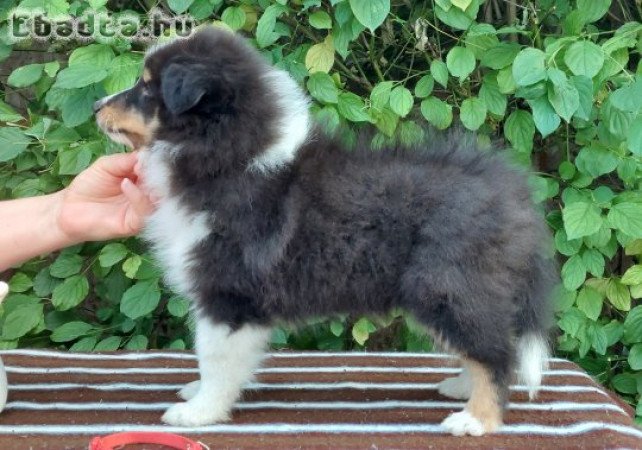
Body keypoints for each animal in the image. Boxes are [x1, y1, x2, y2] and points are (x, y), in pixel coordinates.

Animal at [95, 27, 556, 436]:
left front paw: (199, 412)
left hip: (445, 283)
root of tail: (513, 196)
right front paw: (201, 394)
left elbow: (215, 357)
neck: (230, 154)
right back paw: (461, 387)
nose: (98, 105)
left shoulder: (227, 290)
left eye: (146, 89)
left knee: (496, 353)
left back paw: (476, 420)